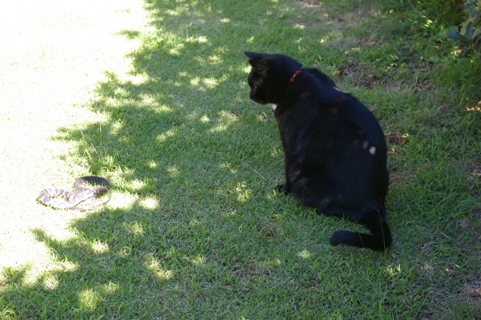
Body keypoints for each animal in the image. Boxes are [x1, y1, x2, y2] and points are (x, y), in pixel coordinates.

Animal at [244, 52, 390, 250]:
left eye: (254, 85)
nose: (251, 96)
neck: (294, 79)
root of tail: (373, 205)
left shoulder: (291, 144)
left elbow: (287, 171)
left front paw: (284, 190)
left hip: (304, 176)